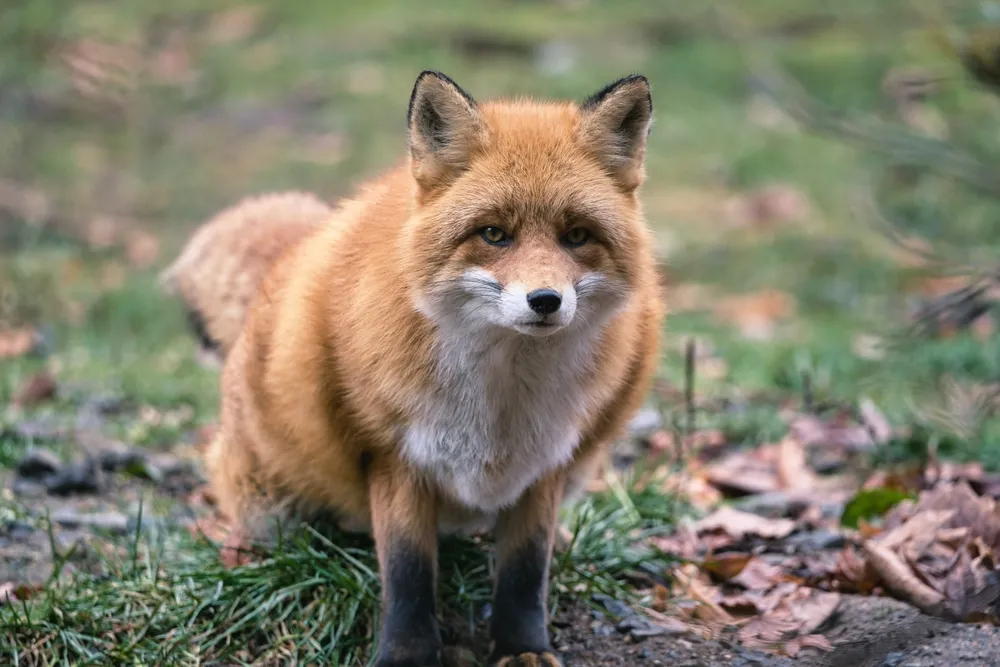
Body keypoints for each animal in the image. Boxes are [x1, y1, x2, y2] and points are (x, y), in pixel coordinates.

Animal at [205, 70, 664, 667]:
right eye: (493, 234)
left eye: (577, 236)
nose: (545, 300)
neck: (501, 401)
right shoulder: (395, 457)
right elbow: (408, 573)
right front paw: (407, 654)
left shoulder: (546, 461)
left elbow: (525, 572)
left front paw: (522, 648)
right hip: (270, 501)